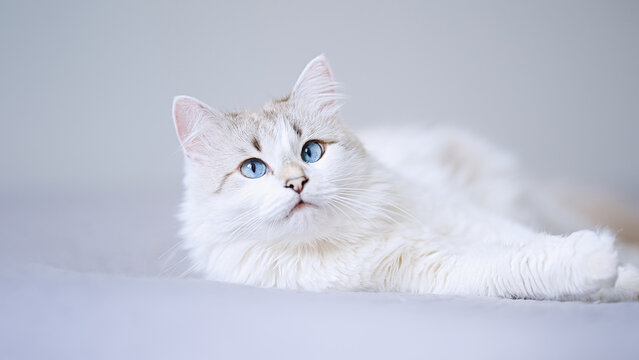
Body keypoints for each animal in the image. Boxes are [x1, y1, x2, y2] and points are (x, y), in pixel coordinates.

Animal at [171, 54, 639, 300]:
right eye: (253, 169)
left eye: (311, 152)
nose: (296, 183)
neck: (350, 237)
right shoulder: (427, 269)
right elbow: (524, 262)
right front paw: (599, 264)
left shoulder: (460, 216)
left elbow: (526, 241)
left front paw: (621, 273)